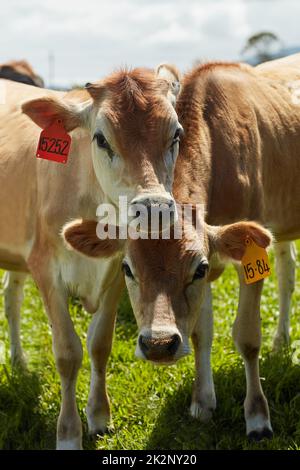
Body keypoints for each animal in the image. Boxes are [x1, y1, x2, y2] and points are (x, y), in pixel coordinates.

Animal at [0, 62, 182, 448]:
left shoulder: (116, 270)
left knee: (11, 297)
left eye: (176, 133)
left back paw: (20, 362)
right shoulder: (45, 268)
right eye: (101, 138)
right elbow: (68, 352)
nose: (154, 208)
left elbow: (100, 344)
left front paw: (99, 416)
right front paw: (68, 432)